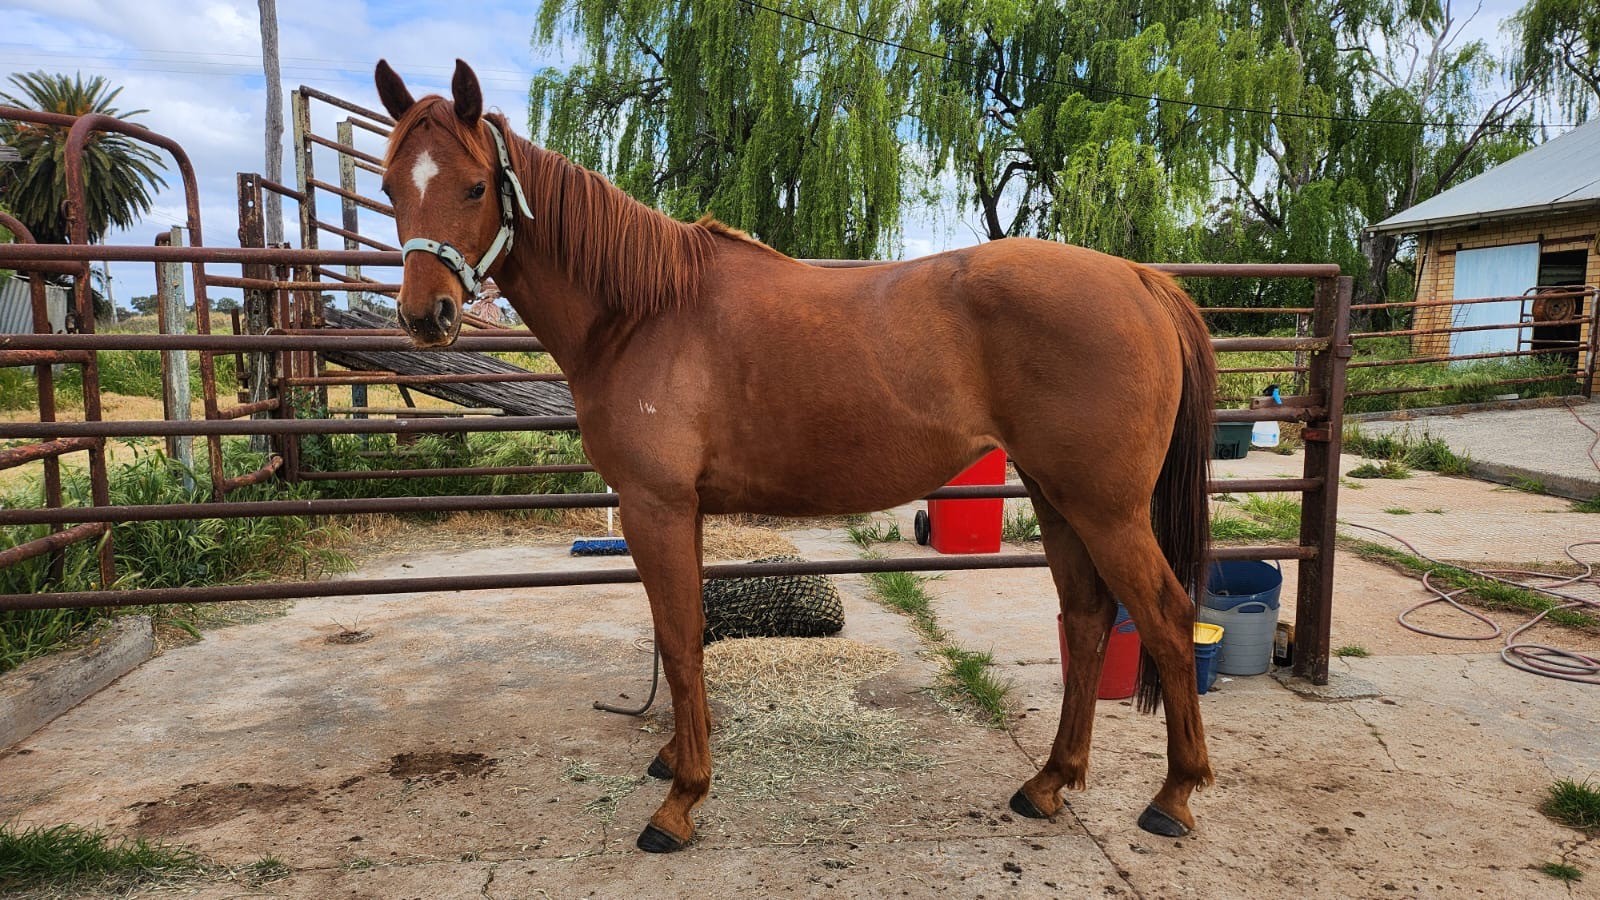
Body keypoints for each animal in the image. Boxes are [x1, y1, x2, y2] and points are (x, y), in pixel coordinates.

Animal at [372, 59, 1217, 853]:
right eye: (388, 185)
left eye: (476, 186)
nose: (425, 314)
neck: (642, 313)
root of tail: (1140, 281)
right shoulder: (681, 512)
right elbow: (682, 633)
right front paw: (676, 758)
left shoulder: (655, 507)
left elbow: (678, 640)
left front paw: (680, 802)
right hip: (1054, 494)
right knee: (1087, 617)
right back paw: (1048, 784)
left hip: (1106, 508)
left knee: (1168, 618)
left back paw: (1173, 798)